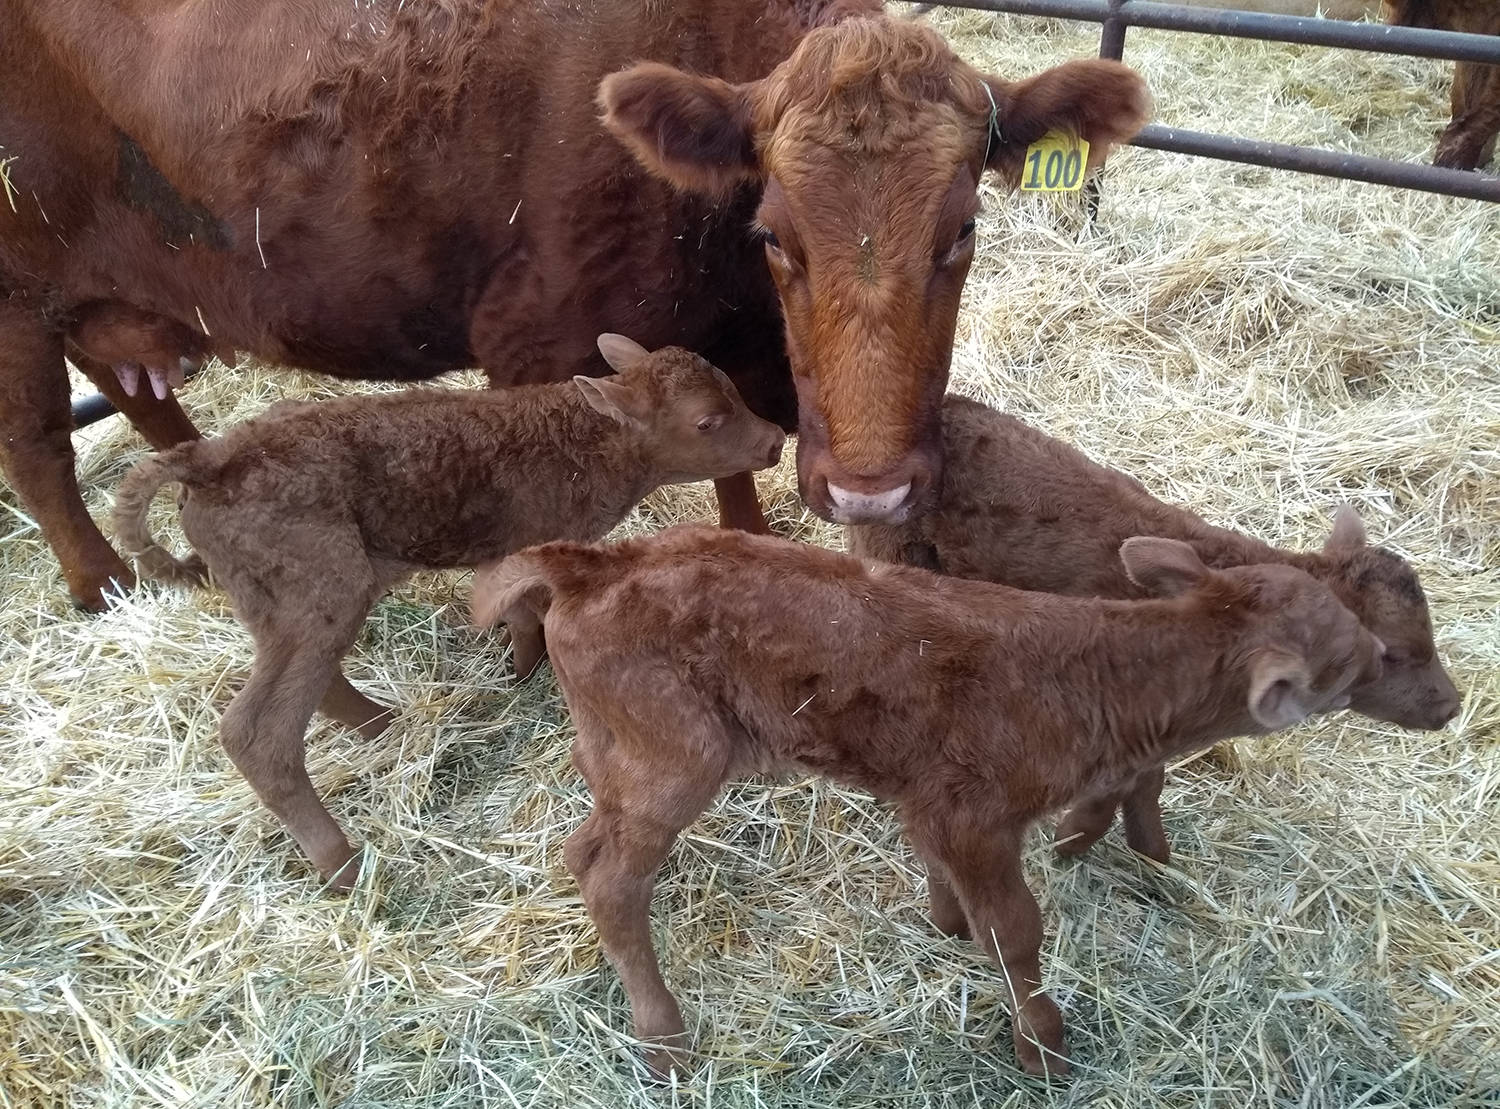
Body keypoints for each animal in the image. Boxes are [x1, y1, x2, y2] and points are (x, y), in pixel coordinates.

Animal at [0, 0, 1146, 612]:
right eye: (775, 232)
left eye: (961, 231)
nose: (871, 492)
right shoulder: (533, 344)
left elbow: (734, 471)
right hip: (16, 290)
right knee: (40, 446)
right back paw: (101, 582)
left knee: (137, 390)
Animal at [111, 337, 786, 894]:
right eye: (707, 421)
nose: (776, 440)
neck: (578, 443)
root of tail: (211, 457)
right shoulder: (532, 542)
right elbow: (530, 613)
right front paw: (527, 670)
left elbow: (519, 613)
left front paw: (517, 672)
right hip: (320, 589)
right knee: (257, 731)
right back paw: (341, 863)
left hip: (280, 601)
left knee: (309, 679)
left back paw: (383, 726)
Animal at [471, 525, 1380, 1080]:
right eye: (1342, 660)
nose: (1381, 653)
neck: (1098, 677)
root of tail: (594, 561)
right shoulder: (977, 812)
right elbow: (1016, 930)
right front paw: (1044, 1045)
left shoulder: (928, 797)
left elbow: (954, 890)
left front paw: (946, 923)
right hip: (676, 753)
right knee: (611, 874)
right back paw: (664, 1038)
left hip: (613, 741)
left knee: (583, 835)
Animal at [858, 396, 1464, 870]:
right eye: (1393, 653)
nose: (1450, 707)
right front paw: (1077, 841)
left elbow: (1148, 779)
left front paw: (1151, 855)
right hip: (888, 546)